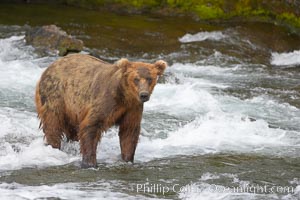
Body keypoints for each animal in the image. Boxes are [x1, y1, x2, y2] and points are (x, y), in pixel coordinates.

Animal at [35, 54, 166, 168]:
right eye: (136, 79)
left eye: (150, 79)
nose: (144, 95)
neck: (124, 96)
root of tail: (50, 66)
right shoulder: (106, 102)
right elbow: (90, 126)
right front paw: (89, 163)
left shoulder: (132, 108)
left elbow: (129, 132)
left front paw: (127, 159)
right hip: (56, 96)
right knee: (53, 124)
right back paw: (54, 147)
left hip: (72, 112)